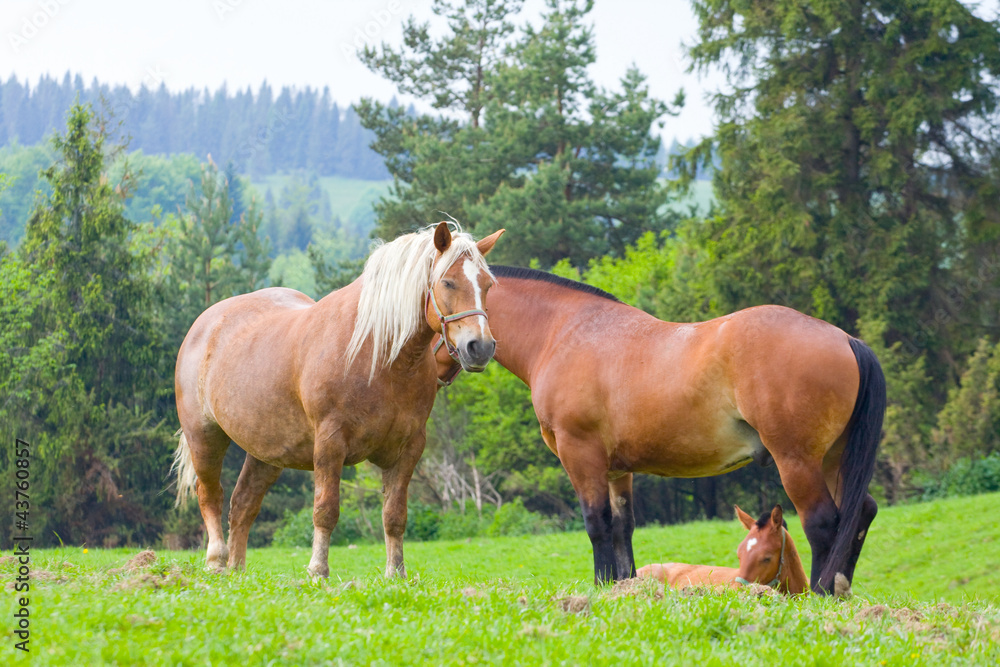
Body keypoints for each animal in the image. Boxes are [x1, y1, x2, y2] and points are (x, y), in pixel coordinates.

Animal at [173, 222, 504, 576]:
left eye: (487, 285)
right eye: (447, 282)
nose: (480, 347)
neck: (379, 355)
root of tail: (205, 324)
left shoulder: (409, 448)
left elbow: (394, 516)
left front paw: (396, 573)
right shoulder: (330, 444)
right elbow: (326, 510)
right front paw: (318, 570)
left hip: (266, 451)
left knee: (243, 503)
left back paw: (237, 570)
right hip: (204, 436)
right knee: (210, 495)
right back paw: (216, 561)